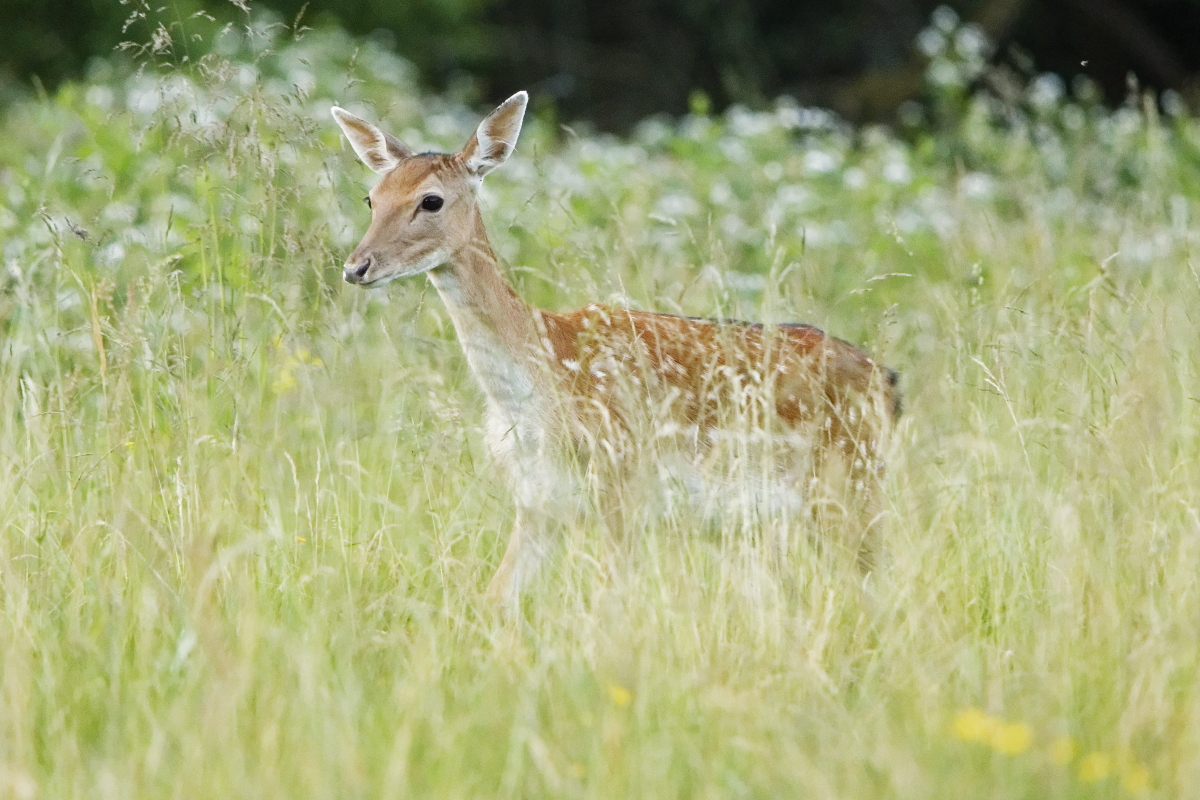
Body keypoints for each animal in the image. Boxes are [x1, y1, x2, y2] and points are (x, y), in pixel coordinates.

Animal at [331, 92, 900, 613]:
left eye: (431, 200)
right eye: (371, 197)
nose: (356, 267)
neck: (537, 387)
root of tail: (889, 382)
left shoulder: (622, 477)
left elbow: (610, 600)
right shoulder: (537, 499)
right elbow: (494, 599)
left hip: (850, 484)